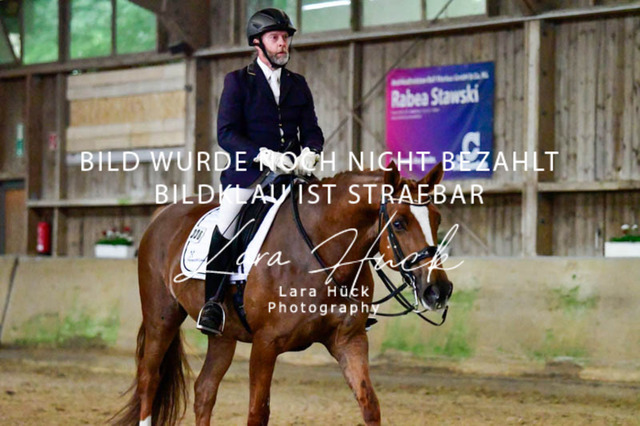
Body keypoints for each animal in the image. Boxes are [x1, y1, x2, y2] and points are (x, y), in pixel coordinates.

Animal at [112, 161, 453, 426]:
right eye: (400, 223)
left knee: (204, 390)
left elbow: (369, 404)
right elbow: (258, 412)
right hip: (162, 317)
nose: (439, 290)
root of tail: (161, 213)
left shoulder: (350, 341)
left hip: (223, 334)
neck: (320, 250)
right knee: (149, 379)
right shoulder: (266, 344)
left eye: (437, 219)